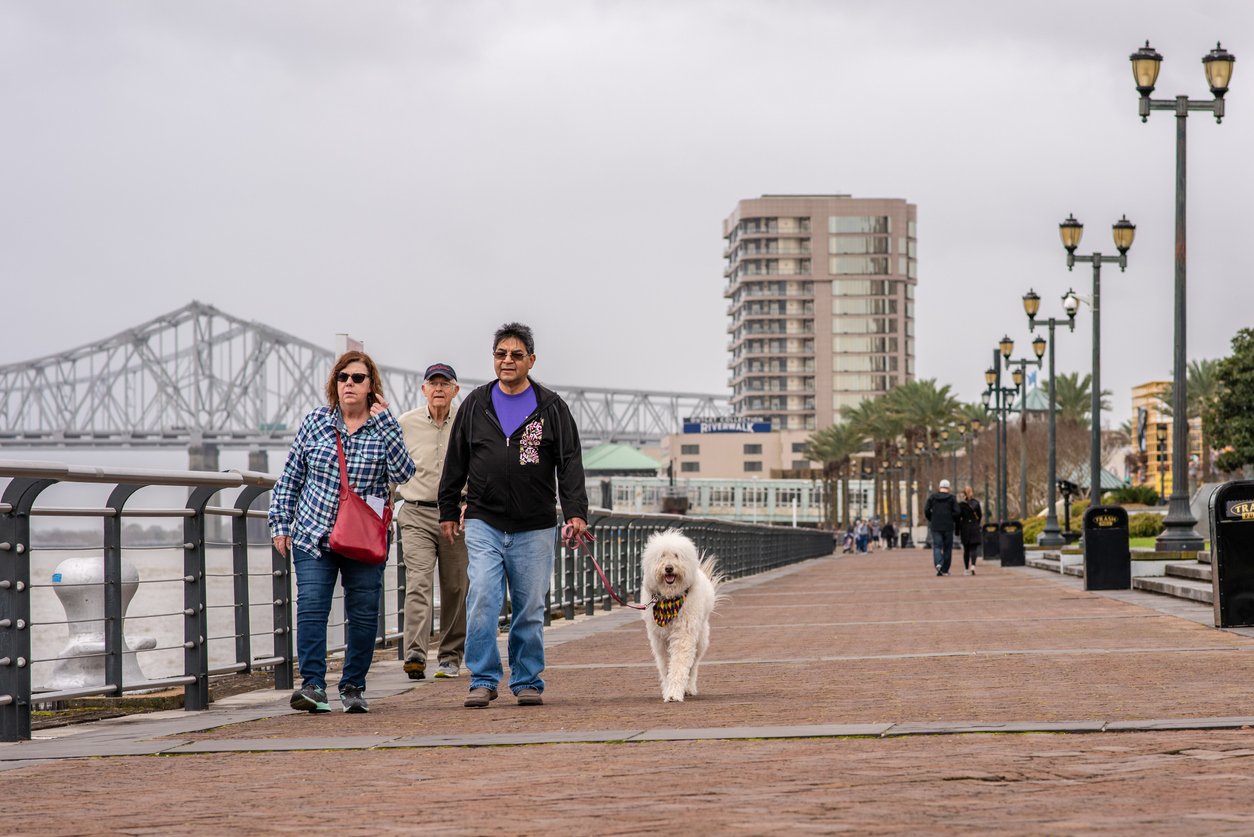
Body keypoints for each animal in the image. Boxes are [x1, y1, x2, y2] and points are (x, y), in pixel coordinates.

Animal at [642, 529, 722, 702]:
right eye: (662, 556)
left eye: (676, 555)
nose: (669, 568)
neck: (669, 599)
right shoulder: (659, 640)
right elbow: (665, 666)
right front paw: (668, 689)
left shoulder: (683, 635)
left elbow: (679, 664)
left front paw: (674, 693)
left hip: (700, 640)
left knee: (693, 666)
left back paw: (689, 688)